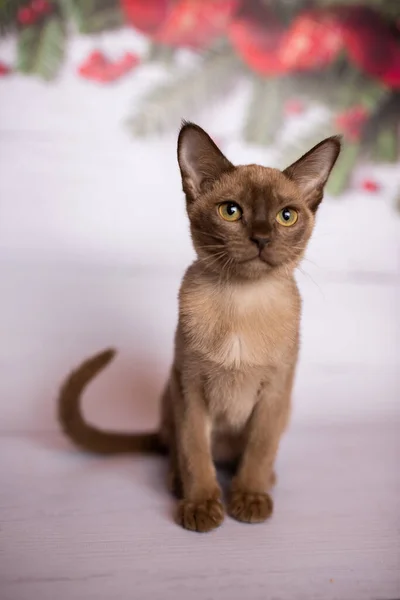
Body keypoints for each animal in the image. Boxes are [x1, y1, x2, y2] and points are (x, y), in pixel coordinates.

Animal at [58, 120, 340, 528]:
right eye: (231, 211)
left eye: (286, 216)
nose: (261, 238)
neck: (242, 301)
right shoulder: (190, 388)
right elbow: (195, 454)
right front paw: (202, 507)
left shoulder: (273, 394)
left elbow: (259, 450)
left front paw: (249, 498)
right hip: (171, 400)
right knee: (177, 451)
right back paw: (179, 484)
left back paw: (262, 482)